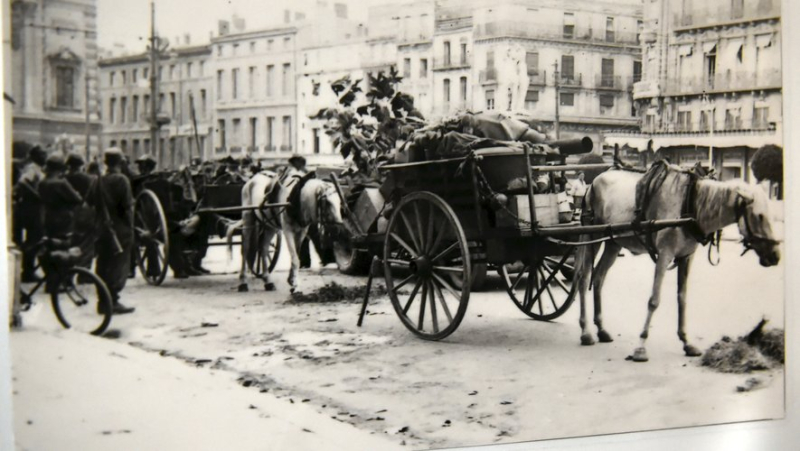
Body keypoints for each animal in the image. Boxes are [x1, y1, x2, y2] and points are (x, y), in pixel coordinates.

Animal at [576, 164, 780, 362]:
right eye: (759, 216)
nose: (775, 256)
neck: (691, 203)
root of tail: (593, 182)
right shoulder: (664, 255)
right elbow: (654, 300)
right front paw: (641, 347)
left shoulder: (686, 257)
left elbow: (682, 299)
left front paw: (686, 341)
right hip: (591, 236)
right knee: (584, 278)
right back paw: (585, 331)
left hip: (613, 243)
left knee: (598, 278)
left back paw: (601, 329)